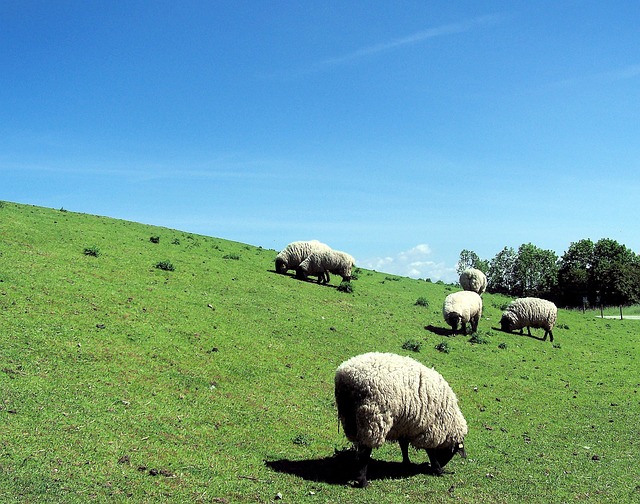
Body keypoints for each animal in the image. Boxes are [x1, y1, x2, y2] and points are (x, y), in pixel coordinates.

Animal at [336, 352, 470, 486]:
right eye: (453, 452)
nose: (442, 464)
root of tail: (346, 374)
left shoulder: (405, 425)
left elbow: (404, 446)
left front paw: (407, 463)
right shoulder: (430, 429)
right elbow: (430, 451)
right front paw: (437, 469)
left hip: (350, 418)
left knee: (359, 447)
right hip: (373, 416)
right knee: (365, 451)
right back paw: (363, 482)